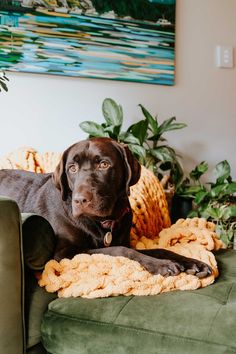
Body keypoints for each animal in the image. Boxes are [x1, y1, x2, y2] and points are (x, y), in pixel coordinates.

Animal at [0, 138, 212, 280]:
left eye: (104, 164)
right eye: (72, 168)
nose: (80, 200)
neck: (102, 221)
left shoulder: (127, 241)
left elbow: (160, 249)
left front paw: (194, 263)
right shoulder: (64, 254)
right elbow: (120, 251)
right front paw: (163, 265)